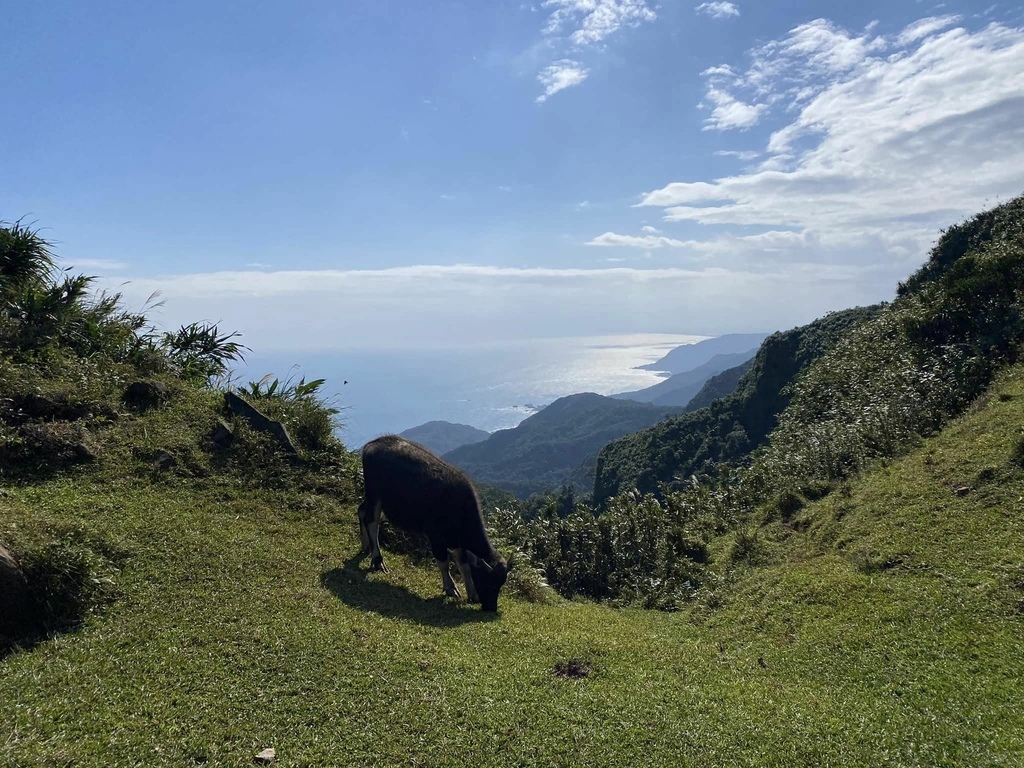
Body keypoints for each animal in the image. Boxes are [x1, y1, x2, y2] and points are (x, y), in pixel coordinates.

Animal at [358, 438, 509, 614]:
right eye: (490, 582)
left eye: (501, 583)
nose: (491, 608)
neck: (460, 509)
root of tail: (372, 444)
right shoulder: (436, 538)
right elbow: (444, 563)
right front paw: (451, 588)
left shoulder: (458, 543)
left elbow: (464, 565)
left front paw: (472, 594)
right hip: (375, 495)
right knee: (372, 522)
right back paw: (378, 560)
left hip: (371, 497)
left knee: (361, 511)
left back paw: (365, 547)